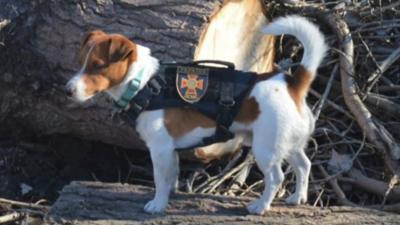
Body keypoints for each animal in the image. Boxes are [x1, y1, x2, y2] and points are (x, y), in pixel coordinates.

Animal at [65, 16, 328, 214]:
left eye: (98, 65)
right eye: (79, 62)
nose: (68, 90)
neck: (143, 83)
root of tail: (293, 85)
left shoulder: (159, 148)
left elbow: (159, 178)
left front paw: (157, 205)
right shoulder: (170, 150)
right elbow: (171, 175)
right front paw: (169, 195)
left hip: (266, 149)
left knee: (276, 178)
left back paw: (261, 206)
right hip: (289, 144)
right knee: (304, 165)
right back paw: (298, 197)